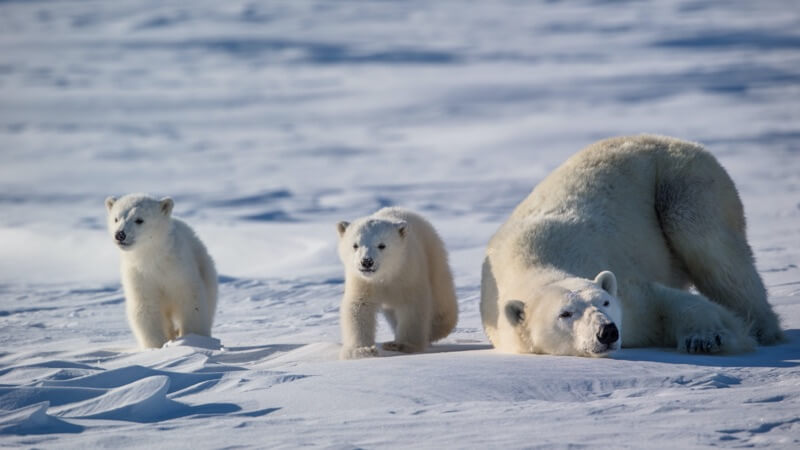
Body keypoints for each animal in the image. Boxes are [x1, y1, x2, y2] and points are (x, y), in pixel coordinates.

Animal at [482, 135, 780, 356]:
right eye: (565, 313)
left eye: (605, 301)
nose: (607, 331)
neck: (533, 264)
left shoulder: (628, 294)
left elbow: (665, 302)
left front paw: (706, 338)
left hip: (683, 182)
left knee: (715, 251)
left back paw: (764, 329)